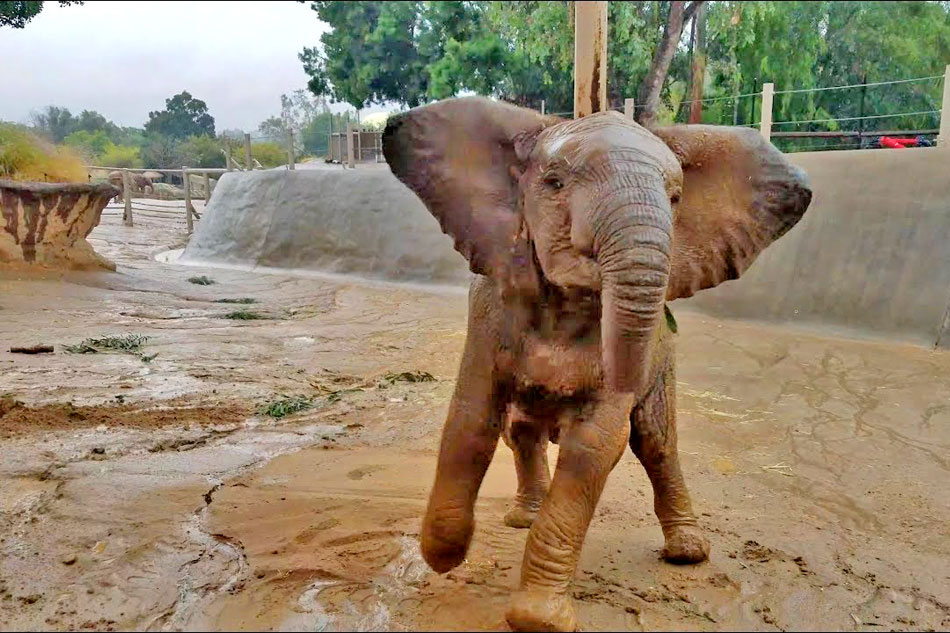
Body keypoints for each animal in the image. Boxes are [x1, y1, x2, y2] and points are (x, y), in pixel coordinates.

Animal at [384, 96, 816, 628]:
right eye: (554, 183)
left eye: (675, 198)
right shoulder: (489, 310)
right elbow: (471, 418)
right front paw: (443, 556)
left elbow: (593, 446)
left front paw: (539, 619)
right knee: (522, 432)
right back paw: (522, 518)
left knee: (655, 442)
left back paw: (687, 552)